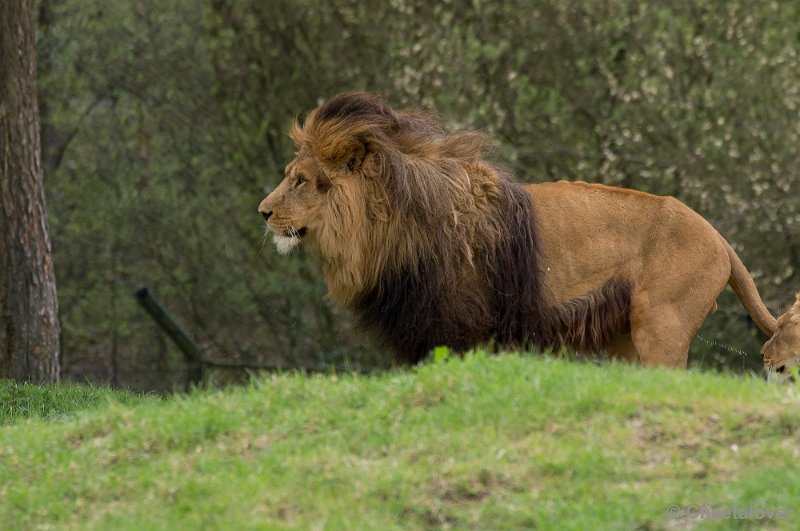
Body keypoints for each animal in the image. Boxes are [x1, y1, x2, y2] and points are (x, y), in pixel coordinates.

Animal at [260, 92, 780, 366]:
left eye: (300, 181)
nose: (263, 212)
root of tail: (720, 239)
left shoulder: (461, 324)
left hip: (661, 326)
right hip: (626, 337)